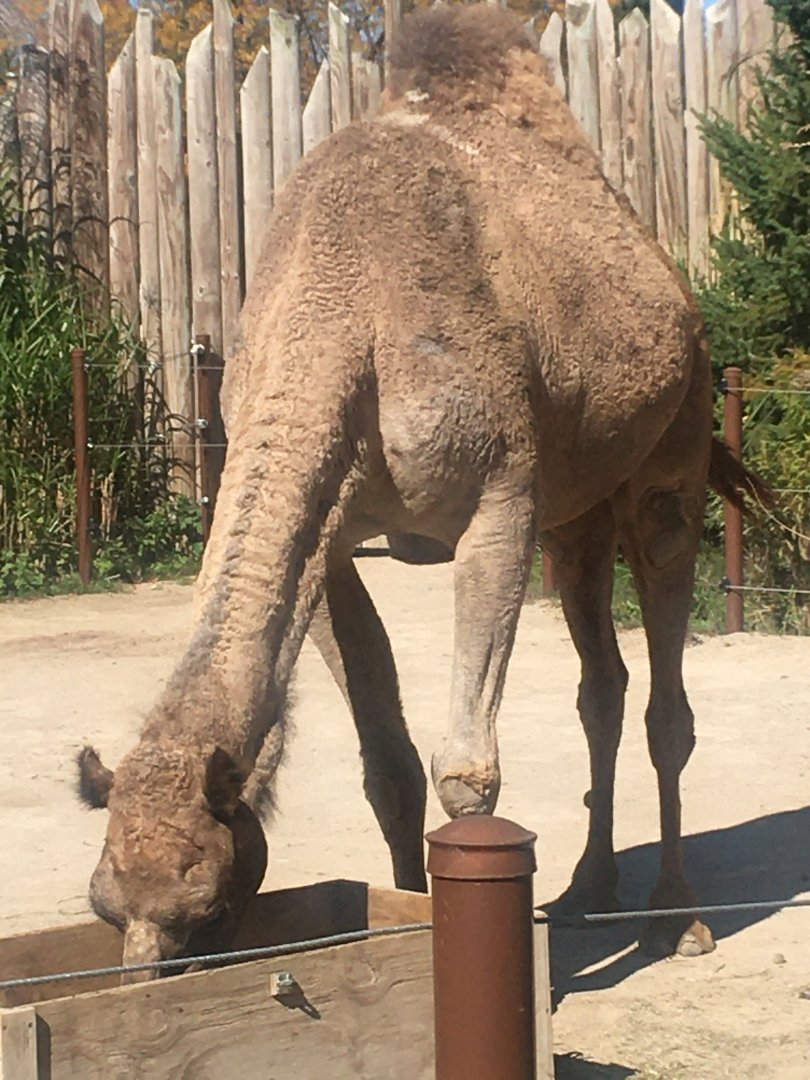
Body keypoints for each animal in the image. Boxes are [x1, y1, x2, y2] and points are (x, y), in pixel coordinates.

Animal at [77, 5, 766, 979]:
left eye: (205, 906)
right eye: (104, 906)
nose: (147, 987)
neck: (343, 306)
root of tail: (672, 283)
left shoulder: (498, 502)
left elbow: (466, 774)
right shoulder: (333, 537)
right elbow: (389, 766)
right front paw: (407, 912)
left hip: (673, 446)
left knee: (667, 691)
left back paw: (679, 918)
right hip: (577, 515)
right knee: (601, 682)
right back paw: (585, 891)